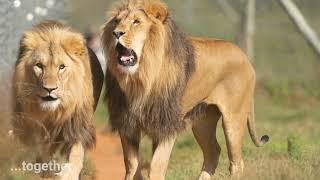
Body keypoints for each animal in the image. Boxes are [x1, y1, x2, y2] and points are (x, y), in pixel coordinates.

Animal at [12, 20, 104, 179]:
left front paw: (68, 174)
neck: (52, 112)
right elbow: (37, 149)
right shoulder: (28, 123)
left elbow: (76, 151)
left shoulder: (77, 124)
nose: (50, 89)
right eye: (39, 66)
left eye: (61, 67)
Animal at [102, 0, 270, 179]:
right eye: (116, 21)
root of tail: (245, 57)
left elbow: (156, 165)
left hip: (234, 119)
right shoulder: (128, 123)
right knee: (213, 151)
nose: (116, 33)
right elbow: (132, 165)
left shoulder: (167, 125)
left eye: (136, 22)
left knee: (236, 162)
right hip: (203, 121)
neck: (142, 78)